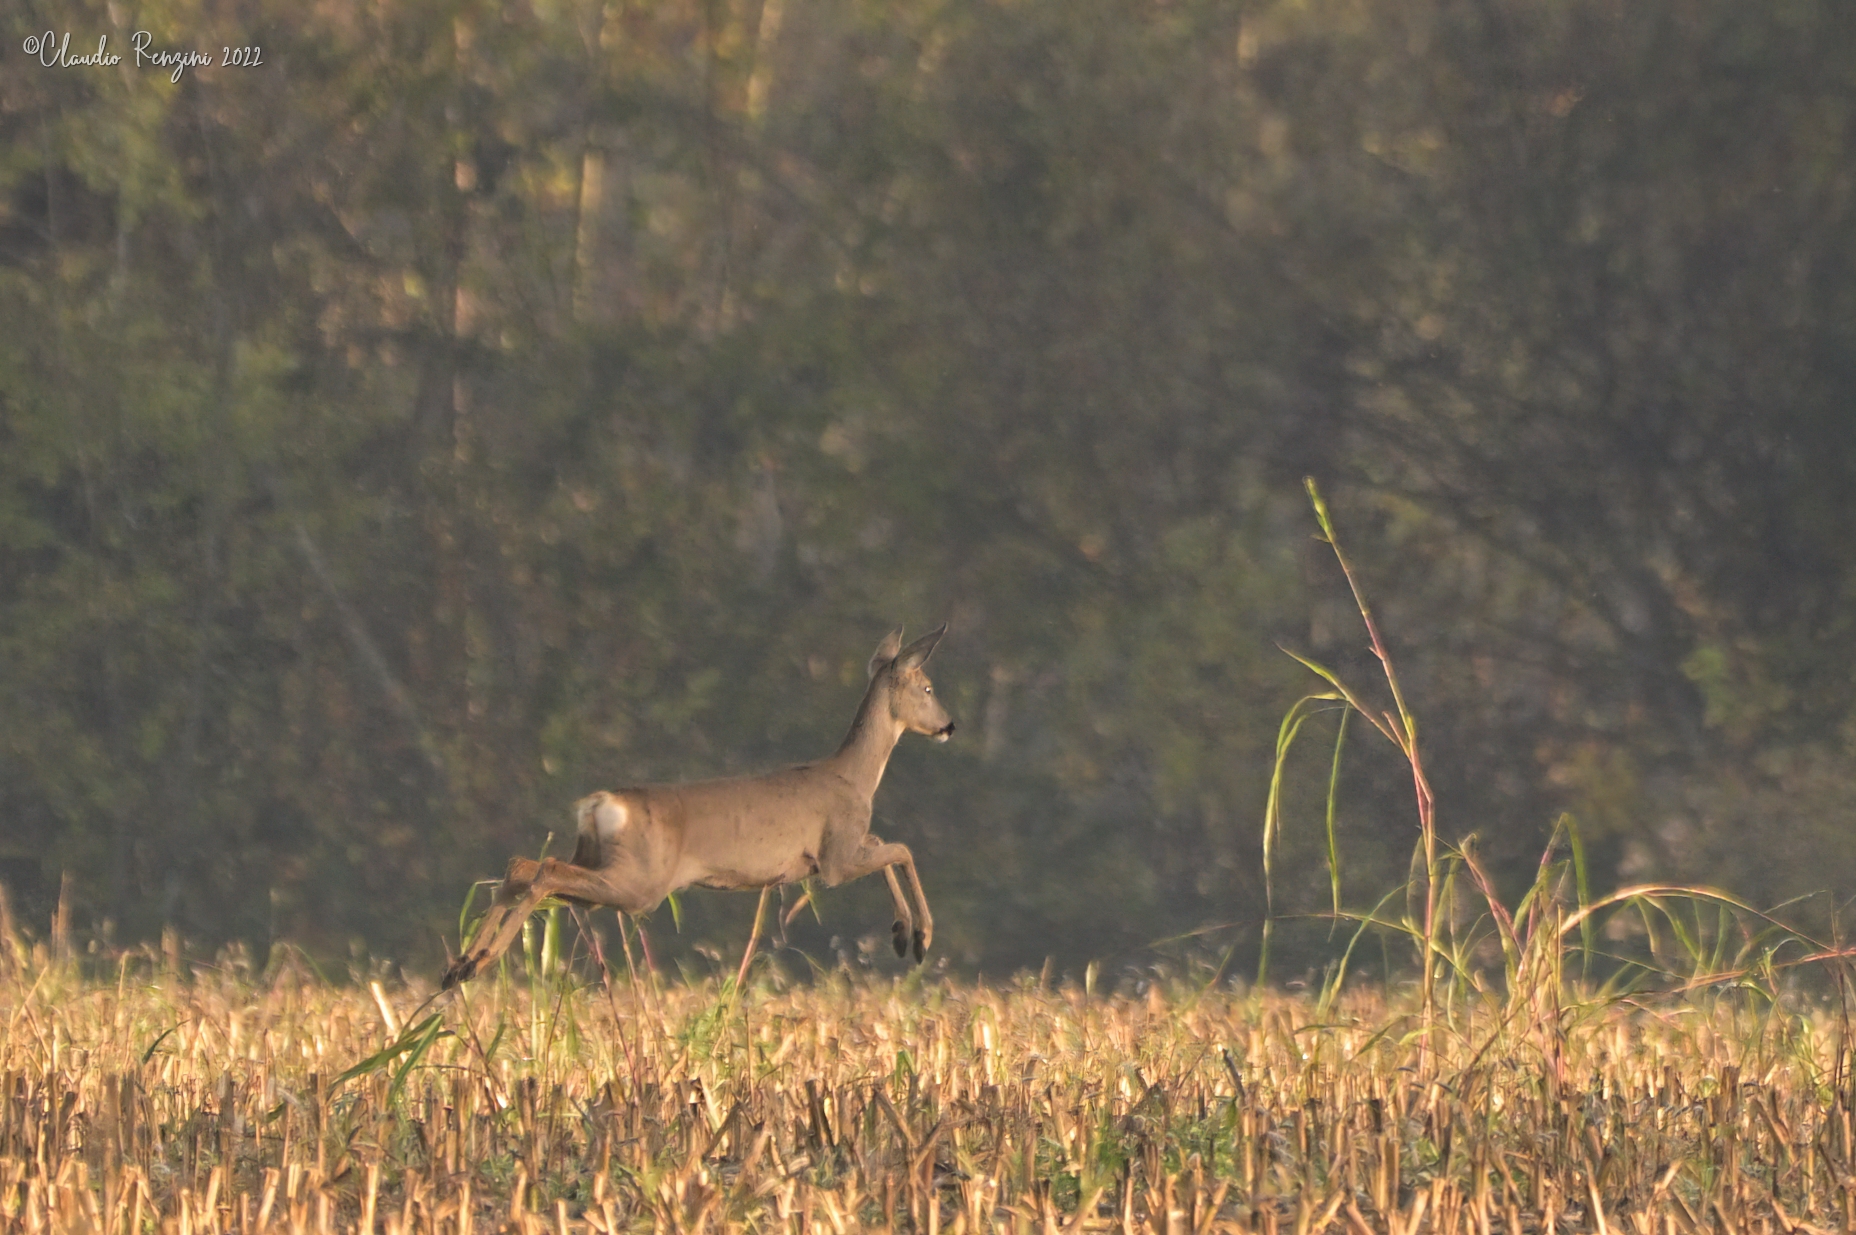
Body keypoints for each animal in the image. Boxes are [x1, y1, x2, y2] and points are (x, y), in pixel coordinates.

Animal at [442, 624, 955, 988]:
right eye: (928, 687)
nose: (949, 725)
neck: (854, 777)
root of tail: (599, 803)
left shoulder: (840, 851)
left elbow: (887, 845)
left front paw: (900, 932)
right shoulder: (834, 857)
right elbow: (902, 849)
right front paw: (921, 937)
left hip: (596, 859)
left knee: (522, 866)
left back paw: (461, 964)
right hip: (640, 880)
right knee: (545, 870)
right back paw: (479, 962)